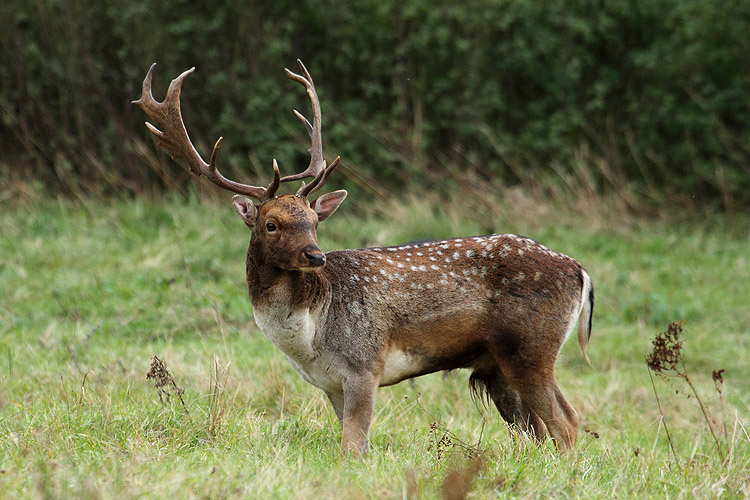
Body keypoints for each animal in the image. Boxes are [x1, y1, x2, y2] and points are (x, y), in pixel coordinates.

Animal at [134, 59, 592, 458]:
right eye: (272, 224)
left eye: (314, 221)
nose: (315, 255)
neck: (309, 336)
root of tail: (580, 271)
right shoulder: (330, 384)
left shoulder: (363, 364)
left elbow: (353, 447)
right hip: (500, 366)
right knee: (548, 429)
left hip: (529, 346)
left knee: (567, 424)